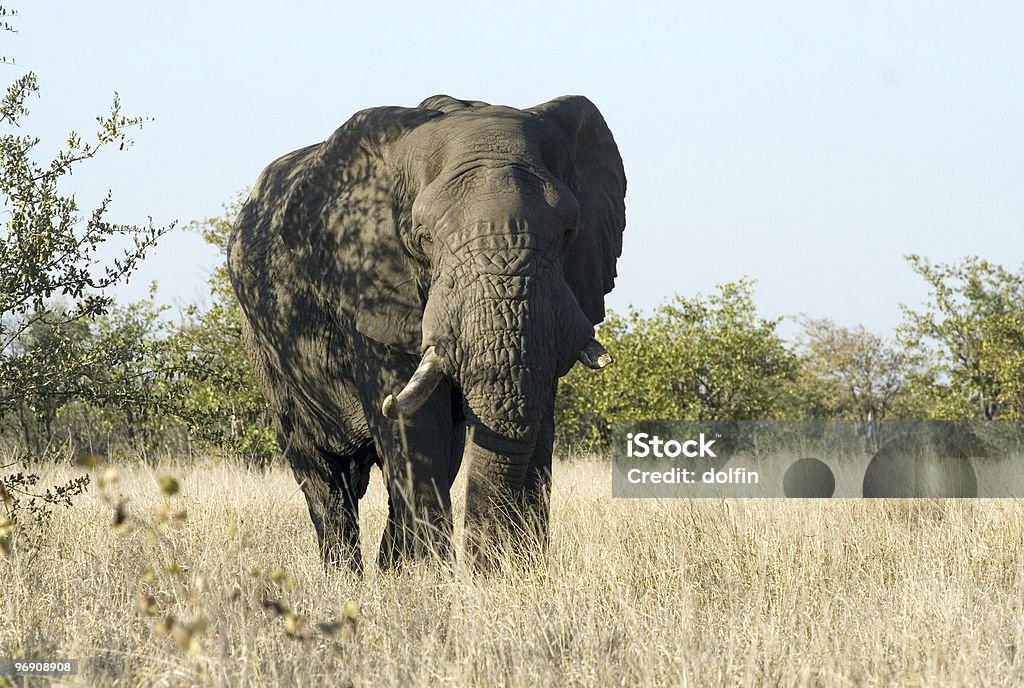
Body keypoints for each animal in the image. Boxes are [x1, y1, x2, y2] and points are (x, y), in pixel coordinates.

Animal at [227, 94, 622, 573]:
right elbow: (415, 426)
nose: (482, 568)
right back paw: (347, 578)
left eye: (568, 232)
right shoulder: (367, 285)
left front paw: (512, 574)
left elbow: (535, 413)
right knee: (321, 474)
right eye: (424, 239)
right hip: (265, 345)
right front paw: (429, 580)